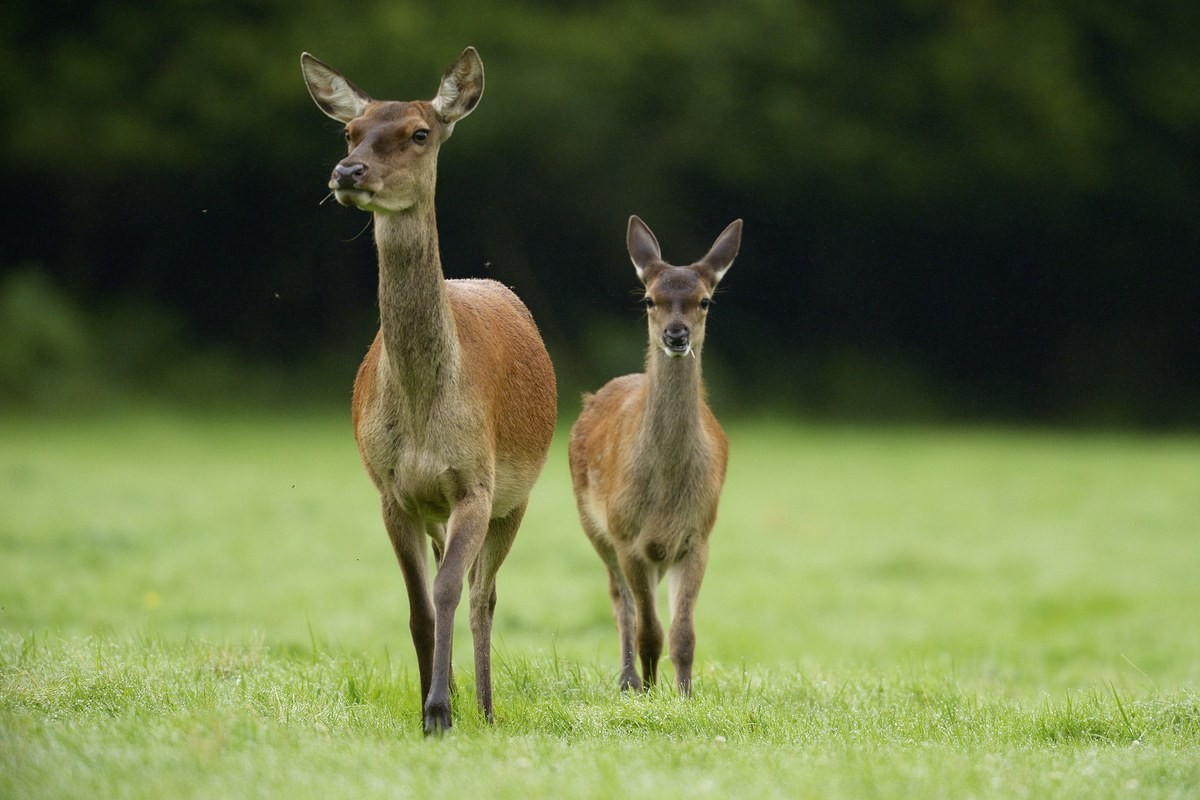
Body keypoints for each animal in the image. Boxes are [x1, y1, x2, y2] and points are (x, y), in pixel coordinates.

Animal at [304, 45, 556, 734]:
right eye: (349, 130)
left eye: (420, 133)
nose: (348, 171)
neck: (422, 414)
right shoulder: (393, 492)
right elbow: (418, 603)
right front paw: (426, 706)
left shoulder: (477, 481)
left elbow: (446, 592)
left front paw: (443, 711)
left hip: (517, 497)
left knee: (483, 594)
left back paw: (487, 708)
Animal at [564, 212, 734, 695]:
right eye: (649, 300)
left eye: (705, 301)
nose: (675, 335)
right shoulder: (627, 535)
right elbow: (649, 629)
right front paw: (650, 689)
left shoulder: (698, 534)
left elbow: (683, 632)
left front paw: (685, 693)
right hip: (593, 525)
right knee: (621, 603)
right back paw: (628, 679)